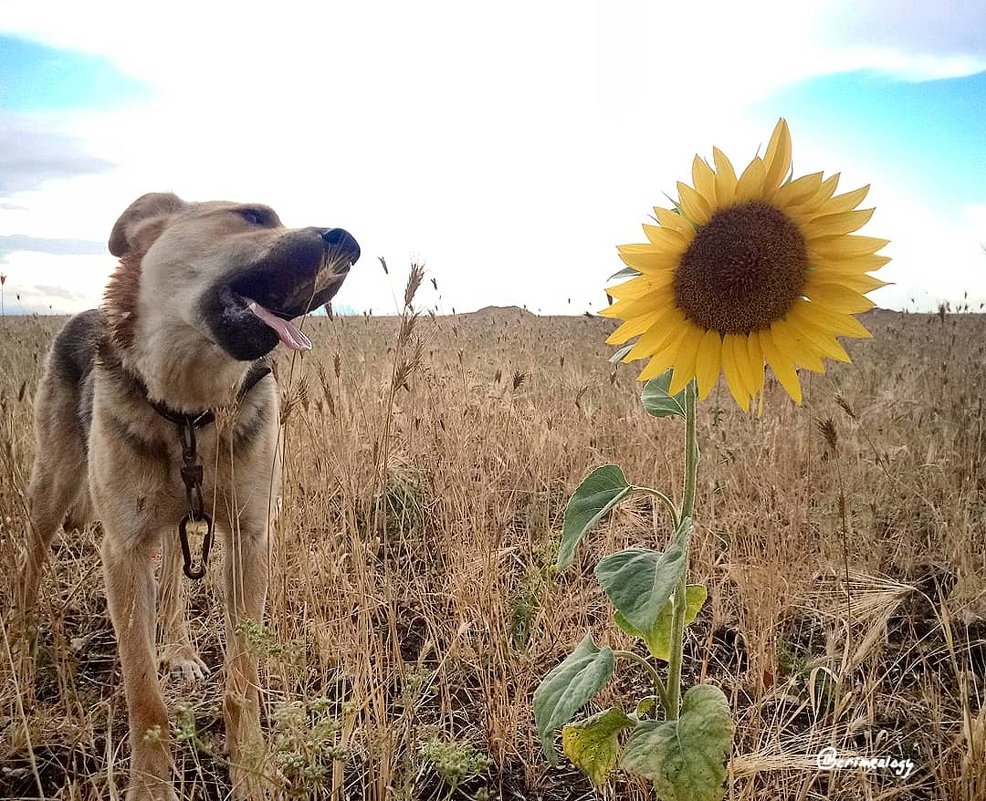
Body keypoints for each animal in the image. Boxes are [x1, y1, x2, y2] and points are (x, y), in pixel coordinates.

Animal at [16, 195, 358, 800]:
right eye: (253, 216)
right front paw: (150, 787)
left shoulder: (247, 539)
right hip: (51, 488)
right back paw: (20, 645)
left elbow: (242, 681)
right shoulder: (124, 552)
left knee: (175, 579)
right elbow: (144, 696)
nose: (353, 245)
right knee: (28, 563)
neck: (189, 409)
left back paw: (179, 650)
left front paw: (252, 769)